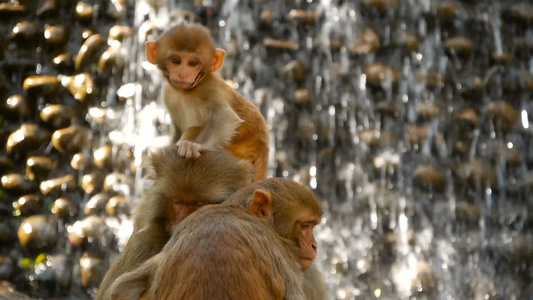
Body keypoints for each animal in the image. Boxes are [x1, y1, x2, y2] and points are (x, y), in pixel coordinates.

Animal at [145, 22, 270, 180]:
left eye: (192, 63)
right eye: (175, 61)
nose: (183, 74)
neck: (186, 92)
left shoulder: (210, 88)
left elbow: (225, 116)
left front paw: (196, 145)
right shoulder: (168, 94)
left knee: (195, 128)